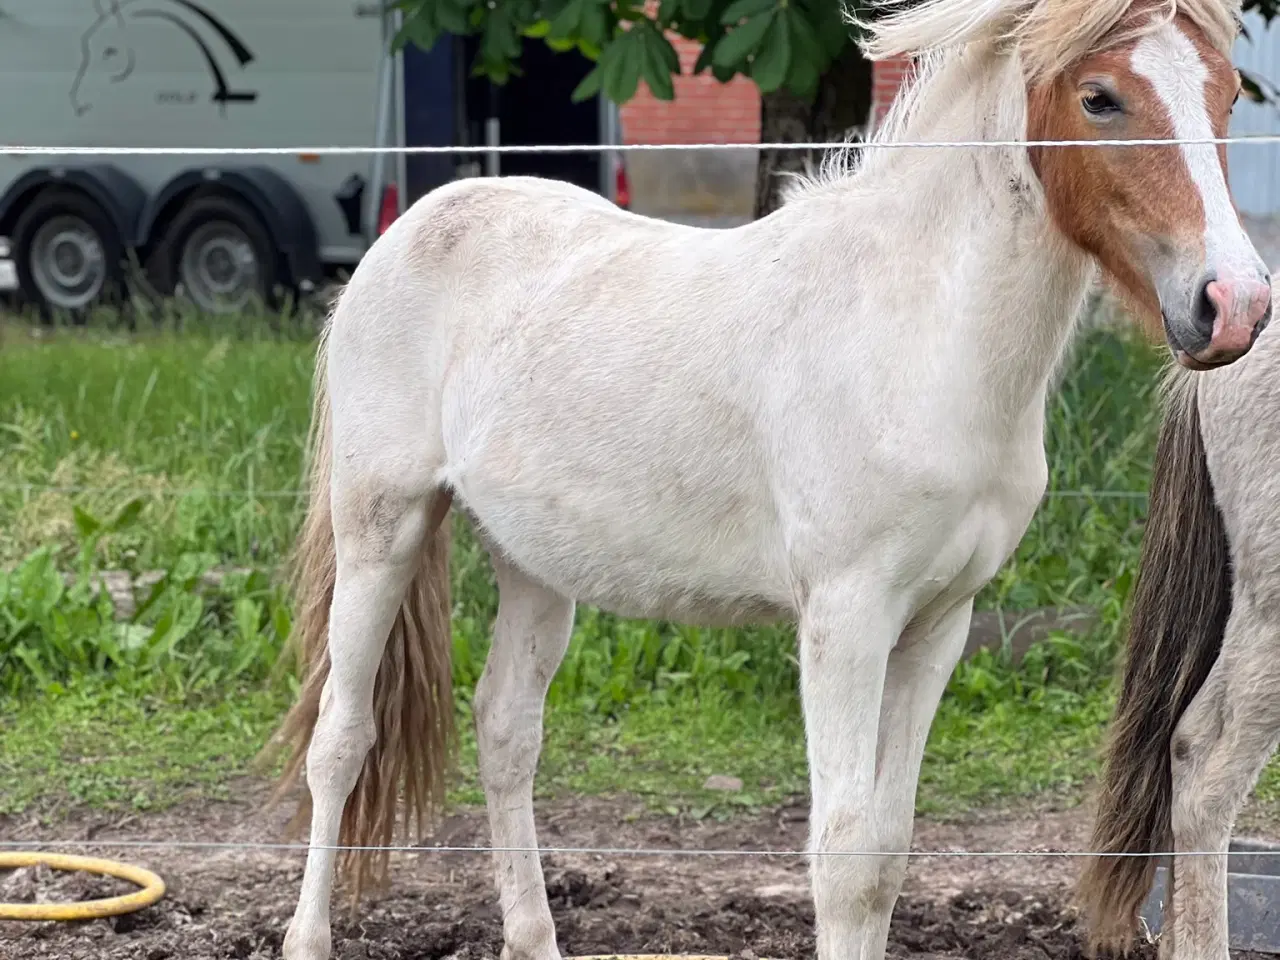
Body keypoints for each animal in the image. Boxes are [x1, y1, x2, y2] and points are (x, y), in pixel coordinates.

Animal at [264, 1, 1274, 960]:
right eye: (1100, 98)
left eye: (1228, 95)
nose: (1234, 305)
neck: (915, 334)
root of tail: (416, 221)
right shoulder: (845, 618)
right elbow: (845, 858)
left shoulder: (938, 626)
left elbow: (889, 851)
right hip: (381, 527)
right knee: (341, 737)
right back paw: (307, 938)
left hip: (534, 563)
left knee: (506, 730)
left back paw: (536, 938)